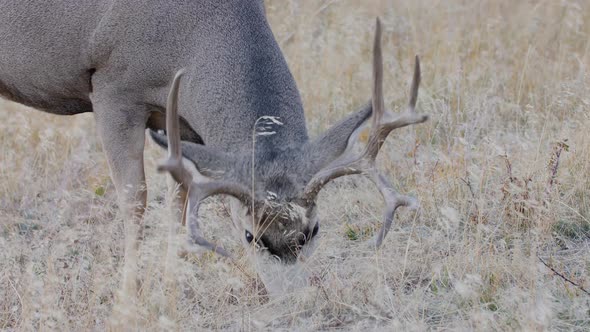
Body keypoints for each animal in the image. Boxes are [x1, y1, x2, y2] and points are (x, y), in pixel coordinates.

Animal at [0, 0, 426, 288]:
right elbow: (135, 198)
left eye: (313, 230)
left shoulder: (182, 123)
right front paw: (130, 290)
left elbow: (181, 200)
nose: (291, 298)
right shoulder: (112, 88)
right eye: (250, 236)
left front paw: (174, 276)